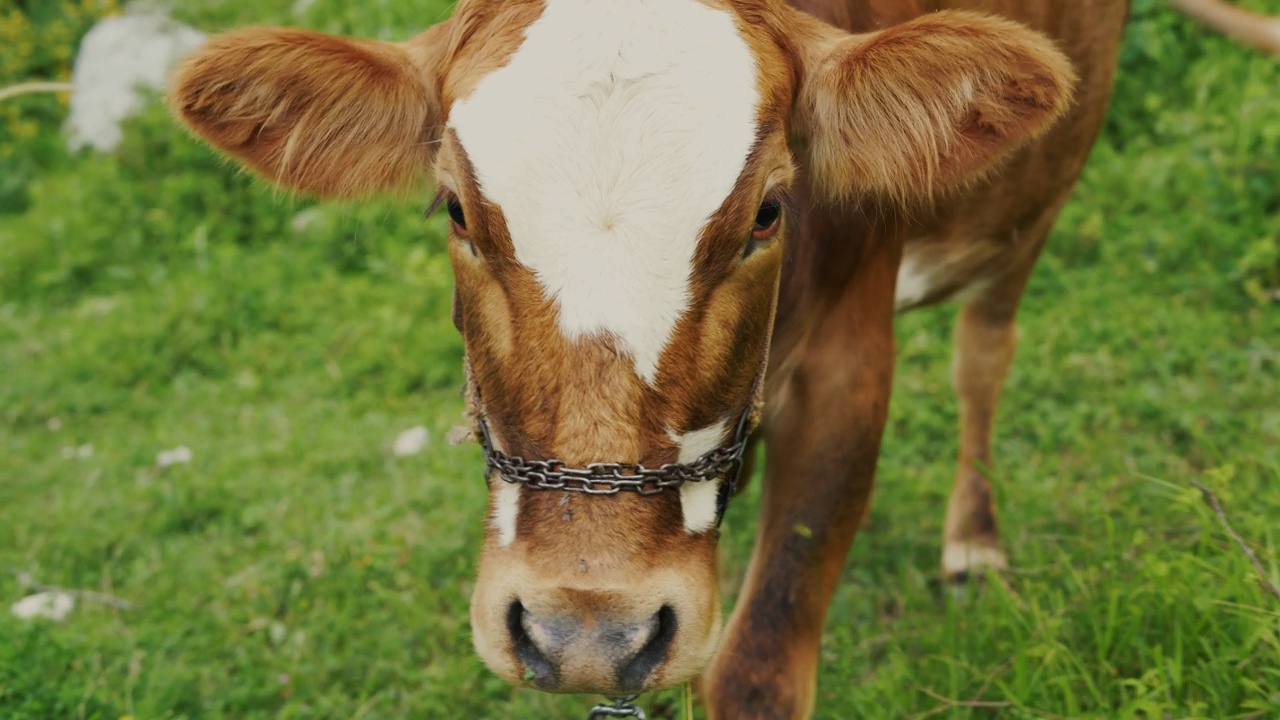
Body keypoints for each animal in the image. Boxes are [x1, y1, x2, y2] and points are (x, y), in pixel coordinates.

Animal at [170, 0, 1131, 712]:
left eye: (767, 214)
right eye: (456, 211)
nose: (588, 632)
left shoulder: (849, 368)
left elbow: (754, 669)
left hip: (1036, 201)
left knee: (986, 348)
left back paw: (973, 538)